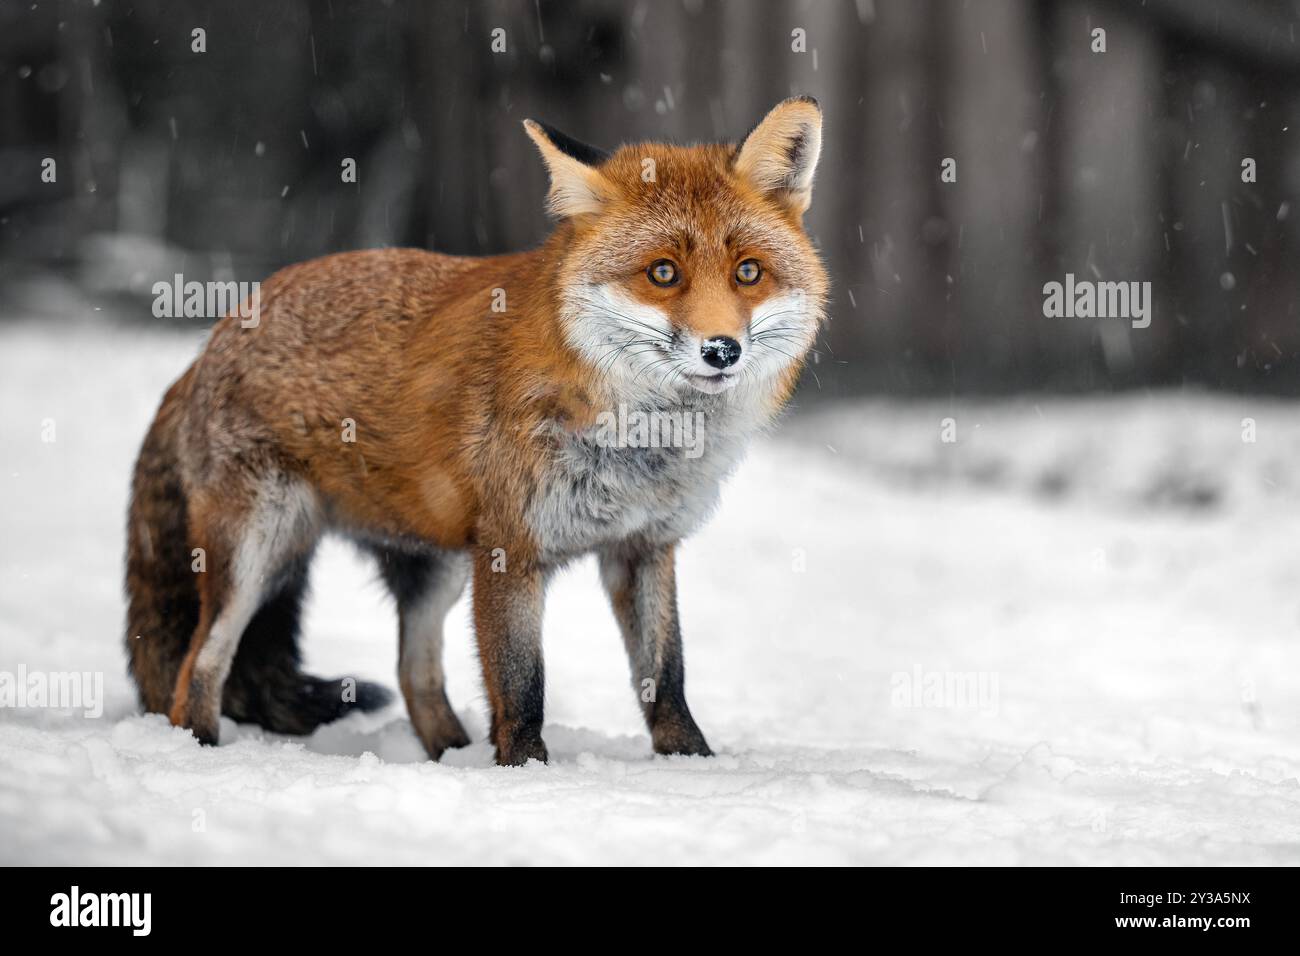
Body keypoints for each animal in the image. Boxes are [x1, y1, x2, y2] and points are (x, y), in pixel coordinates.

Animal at [124, 96, 828, 766]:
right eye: (662, 273)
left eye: (747, 272)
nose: (722, 350)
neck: (639, 439)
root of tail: (215, 334)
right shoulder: (509, 550)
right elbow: (522, 686)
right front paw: (526, 772)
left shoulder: (645, 548)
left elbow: (666, 676)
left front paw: (692, 766)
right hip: (257, 551)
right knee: (200, 665)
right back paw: (202, 747)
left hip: (431, 570)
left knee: (414, 676)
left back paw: (454, 758)